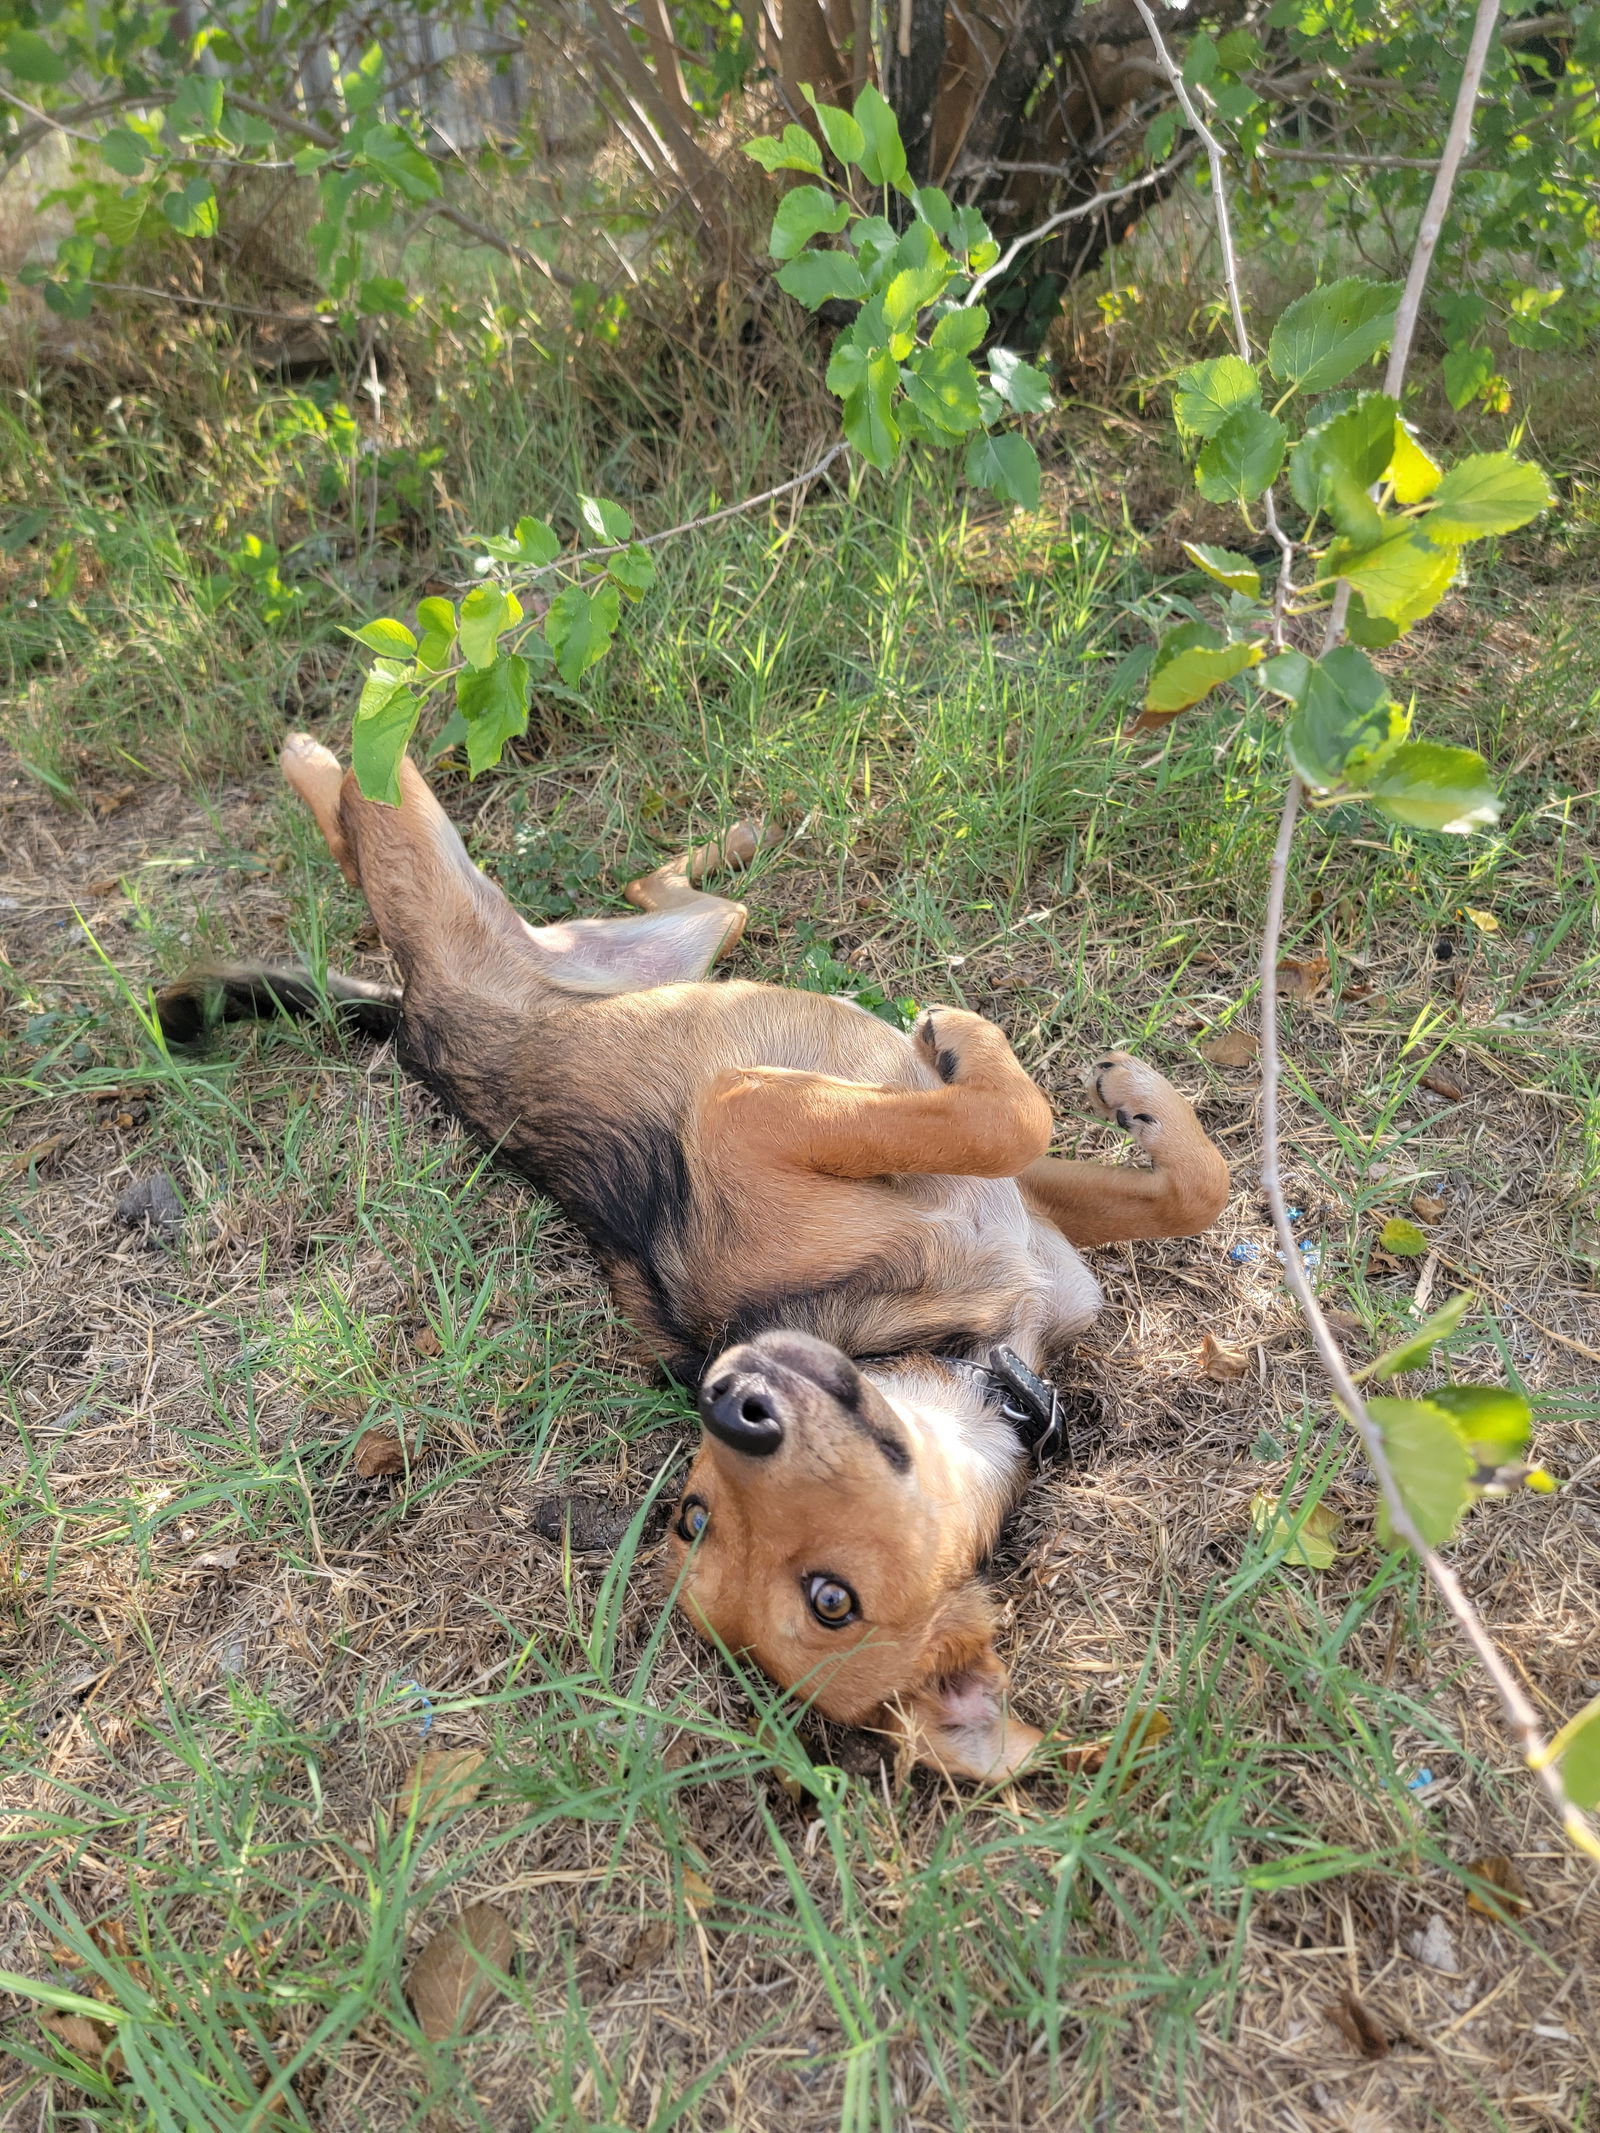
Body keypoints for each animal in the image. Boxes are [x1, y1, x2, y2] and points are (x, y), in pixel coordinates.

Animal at [160, 742, 1228, 1774]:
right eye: (697, 1514)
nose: (731, 1399)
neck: (970, 1349)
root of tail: (414, 1021)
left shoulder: (1021, 1212)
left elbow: (1190, 1185)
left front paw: (1134, 1094)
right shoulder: (739, 1113)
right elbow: (1011, 1116)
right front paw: (968, 1034)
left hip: (666, 943)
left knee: (646, 884)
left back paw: (730, 838)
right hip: (433, 884)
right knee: (368, 792)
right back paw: (330, 734)